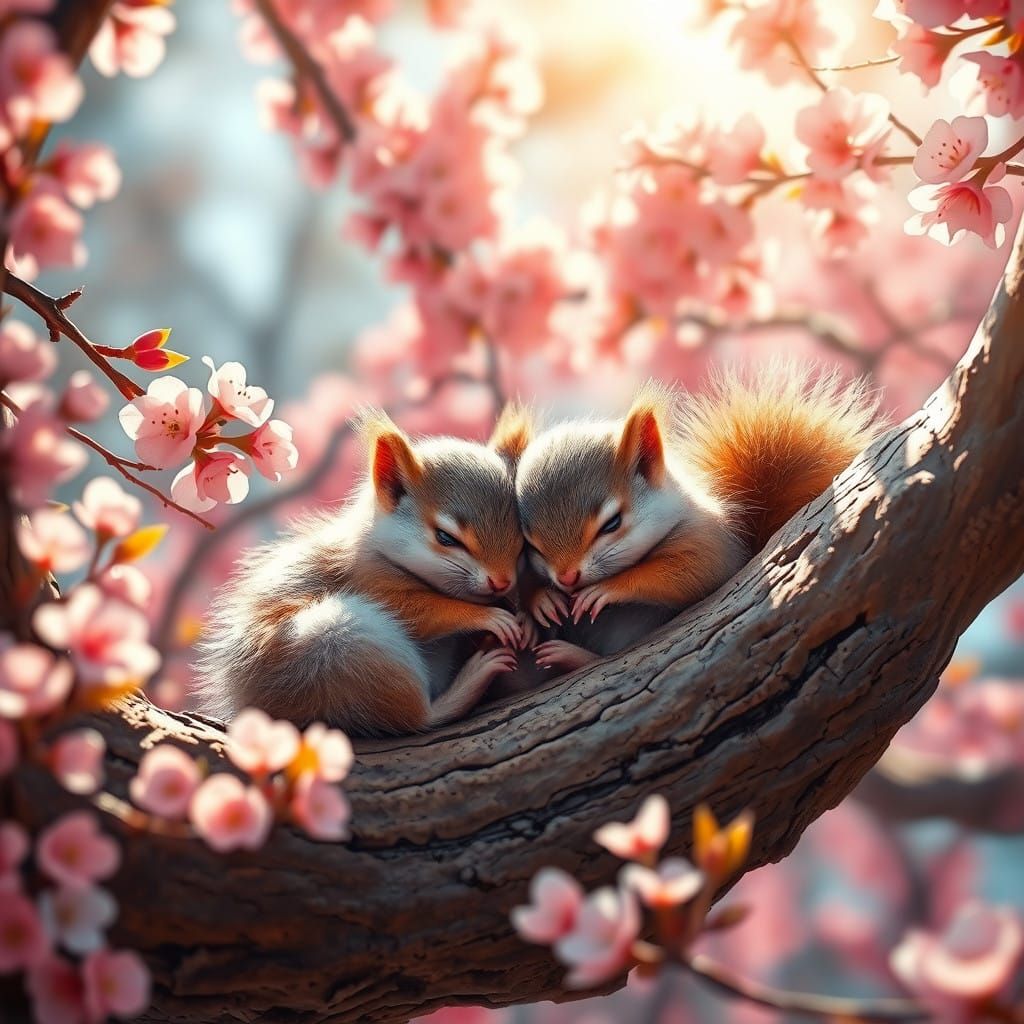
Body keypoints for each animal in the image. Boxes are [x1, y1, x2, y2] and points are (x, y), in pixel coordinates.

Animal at [197, 406, 535, 737]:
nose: (501, 582)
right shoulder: (366, 581)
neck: (375, 547)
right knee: (416, 717)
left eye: (521, 536)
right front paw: (489, 616)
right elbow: (419, 612)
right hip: (340, 647)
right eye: (445, 538)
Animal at [513, 365, 881, 673]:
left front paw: (607, 588)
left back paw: (572, 656)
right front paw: (541, 599)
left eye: (612, 523)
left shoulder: (710, 541)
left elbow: (688, 573)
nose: (567, 578)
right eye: (531, 545)